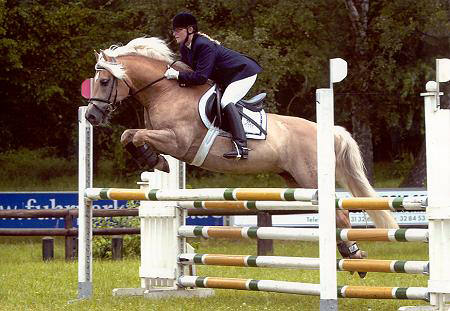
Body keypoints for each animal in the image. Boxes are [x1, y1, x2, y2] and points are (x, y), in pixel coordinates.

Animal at [86, 37, 400, 274]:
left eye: (104, 81)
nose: (90, 116)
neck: (166, 90)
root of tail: (327, 131)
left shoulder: (177, 141)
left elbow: (136, 135)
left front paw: (155, 161)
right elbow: (129, 136)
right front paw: (154, 161)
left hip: (311, 178)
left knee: (341, 214)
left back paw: (355, 257)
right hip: (295, 179)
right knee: (335, 215)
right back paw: (351, 256)